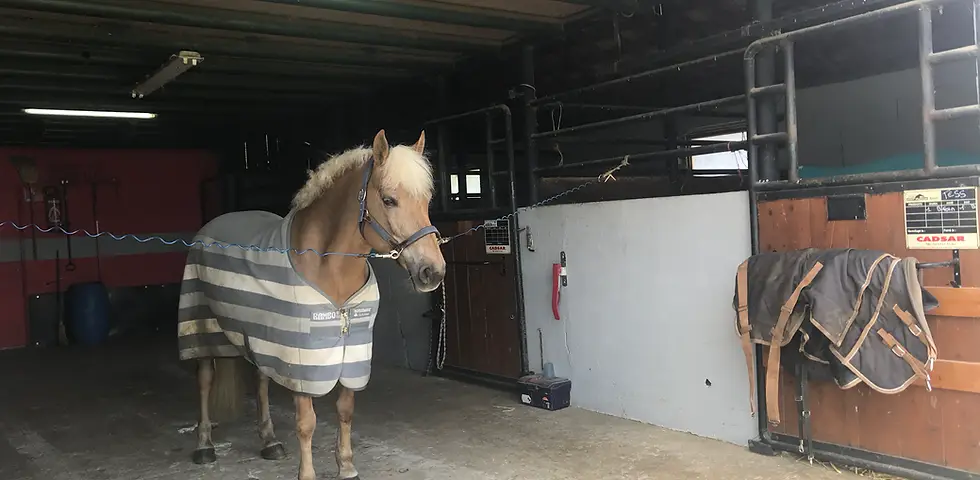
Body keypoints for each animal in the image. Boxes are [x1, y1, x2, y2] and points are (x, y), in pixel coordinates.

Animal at [175, 129, 446, 480]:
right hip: (202, 328)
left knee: (261, 380)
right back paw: (205, 446)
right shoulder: (302, 358)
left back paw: (270, 442)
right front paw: (307, 474)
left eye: (426, 200)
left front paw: (347, 466)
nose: (432, 272)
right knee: (205, 380)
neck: (327, 265)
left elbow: (345, 410)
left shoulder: (351, 349)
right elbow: (307, 423)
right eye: (389, 199)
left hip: (259, 335)